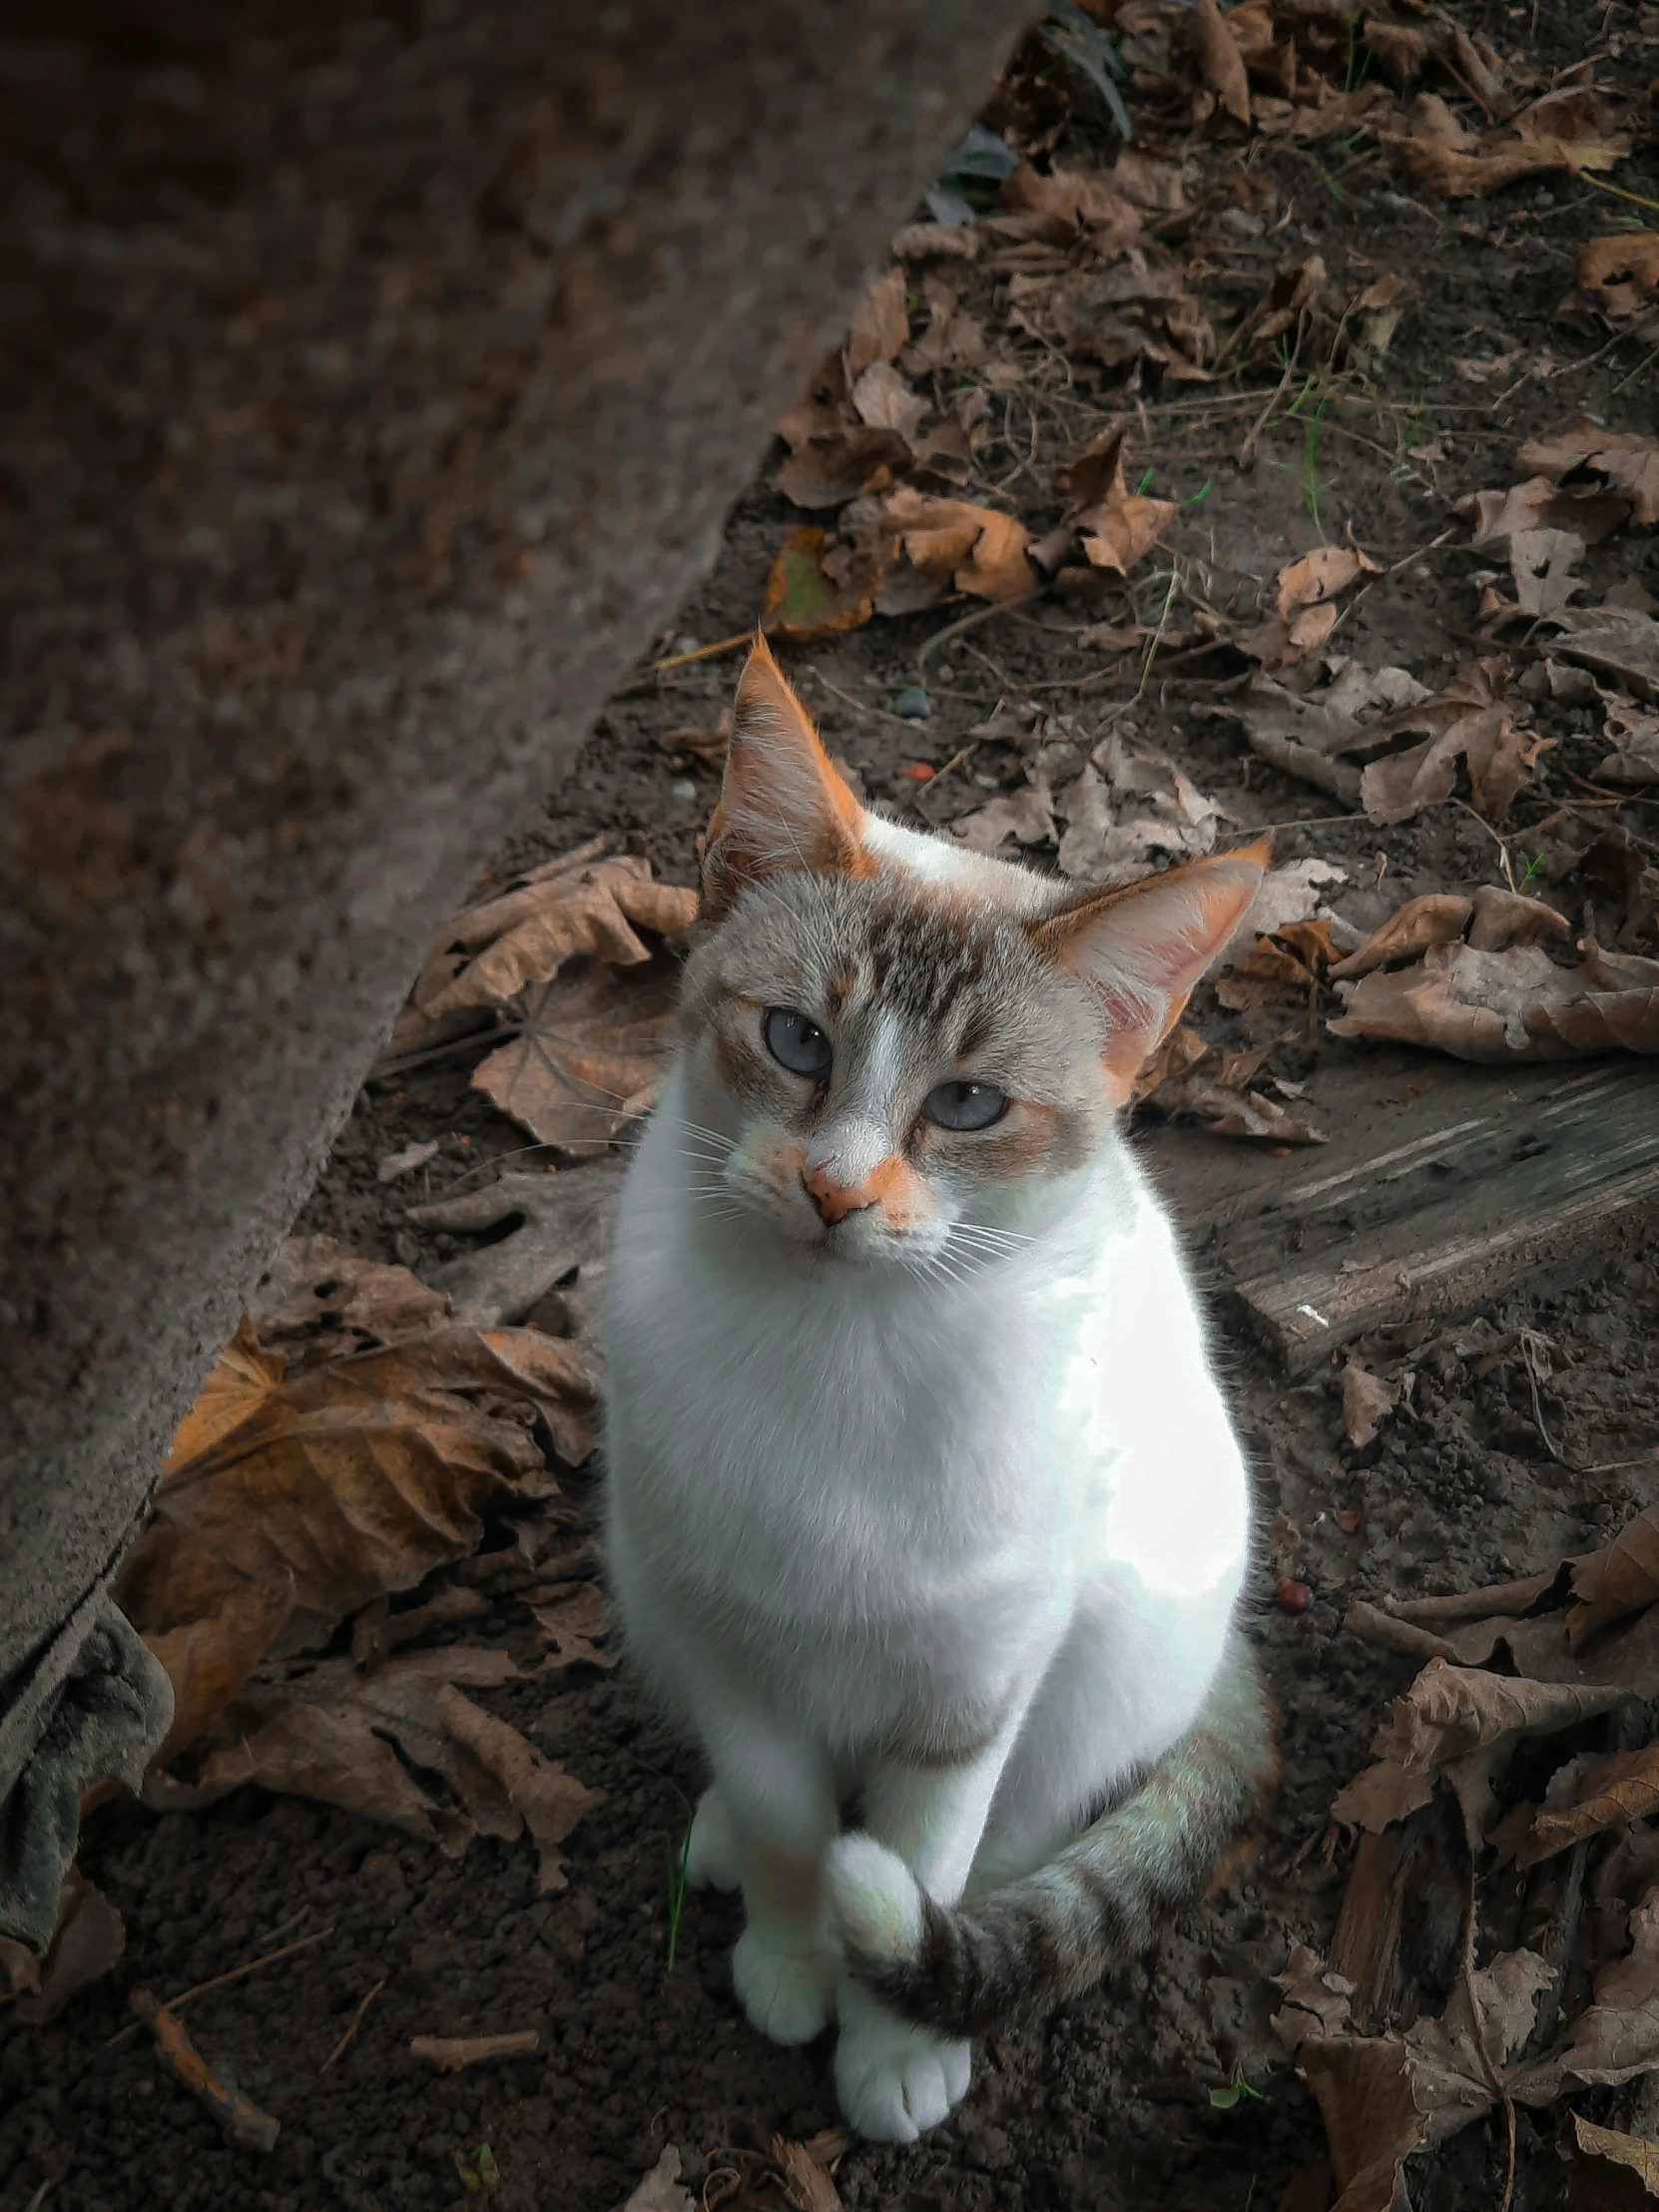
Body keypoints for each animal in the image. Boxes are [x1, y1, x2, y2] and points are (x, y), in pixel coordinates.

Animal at [606, 641, 1283, 2141]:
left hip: (1115, 1656)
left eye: (966, 1105)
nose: (833, 1189)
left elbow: (924, 1860)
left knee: (1036, 1824)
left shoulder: (978, 1677)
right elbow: (793, 1825)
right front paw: (791, 1958)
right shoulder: (732, 1646)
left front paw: (894, 2039)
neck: (842, 1350)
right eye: (796, 1039)